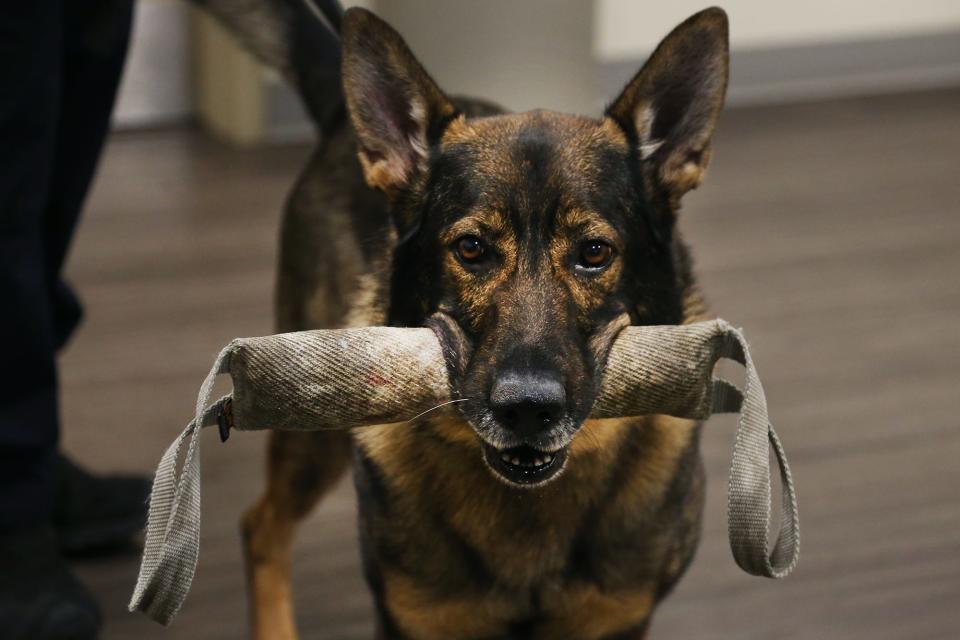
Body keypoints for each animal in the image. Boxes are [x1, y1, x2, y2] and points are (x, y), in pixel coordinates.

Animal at [199, 2, 732, 636]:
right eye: (472, 249)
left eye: (594, 253)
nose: (528, 409)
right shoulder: (411, 619)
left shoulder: (620, 619)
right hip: (313, 422)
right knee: (260, 526)